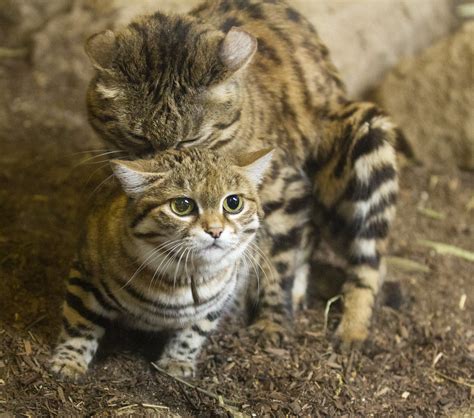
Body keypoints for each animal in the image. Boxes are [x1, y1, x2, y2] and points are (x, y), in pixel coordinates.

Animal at [50, 149, 272, 380]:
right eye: (182, 206)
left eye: (233, 202)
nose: (215, 230)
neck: (185, 276)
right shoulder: (86, 277)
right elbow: (79, 323)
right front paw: (69, 361)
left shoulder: (216, 303)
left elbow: (193, 333)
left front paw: (177, 361)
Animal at [82, 0, 408, 346]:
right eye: (138, 137)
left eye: (189, 140)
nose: (161, 168)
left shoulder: (285, 193)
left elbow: (278, 263)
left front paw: (271, 323)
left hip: (369, 134)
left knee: (369, 262)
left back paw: (351, 330)